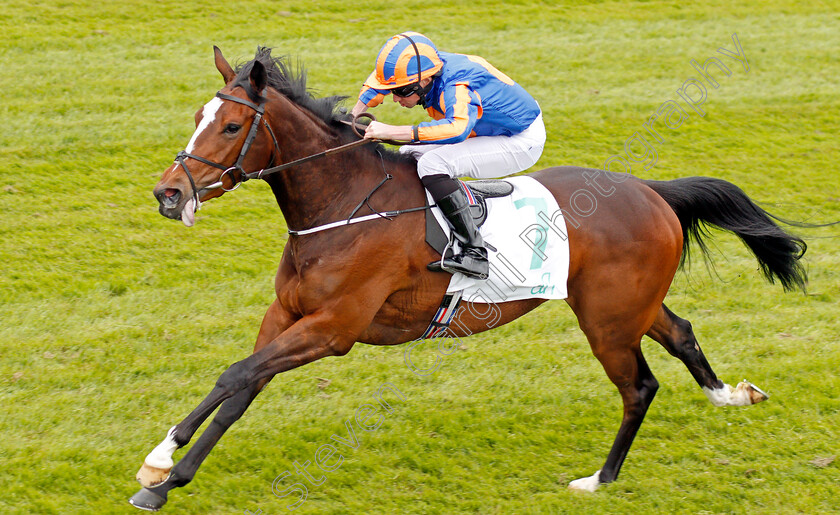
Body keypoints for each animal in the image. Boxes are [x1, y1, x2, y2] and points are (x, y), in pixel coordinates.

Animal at [131, 47, 808, 512]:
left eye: (229, 127)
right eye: (197, 116)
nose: (169, 194)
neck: (343, 205)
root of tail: (650, 190)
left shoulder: (333, 329)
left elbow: (236, 375)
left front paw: (159, 466)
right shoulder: (288, 316)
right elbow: (241, 388)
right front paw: (166, 474)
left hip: (607, 319)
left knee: (639, 386)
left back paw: (599, 478)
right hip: (631, 305)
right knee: (683, 333)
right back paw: (732, 395)